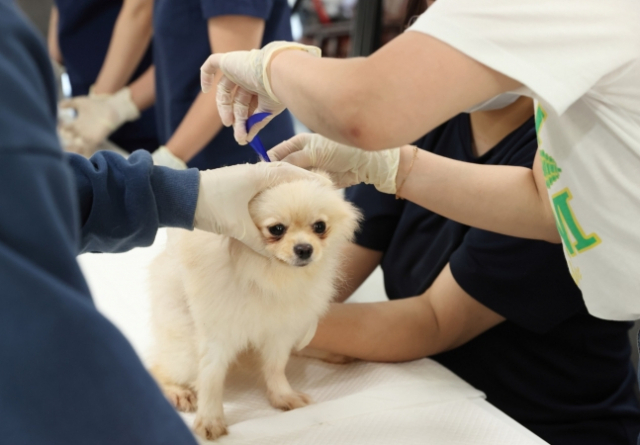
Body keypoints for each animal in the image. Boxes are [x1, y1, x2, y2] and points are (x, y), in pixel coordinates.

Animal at [147, 172, 362, 438]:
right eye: (277, 229)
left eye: (319, 226)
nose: (304, 249)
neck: (267, 274)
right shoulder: (217, 334)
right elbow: (211, 377)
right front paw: (210, 419)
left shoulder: (281, 331)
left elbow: (275, 367)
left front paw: (282, 395)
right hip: (184, 348)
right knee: (158, 368)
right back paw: (177, 391)